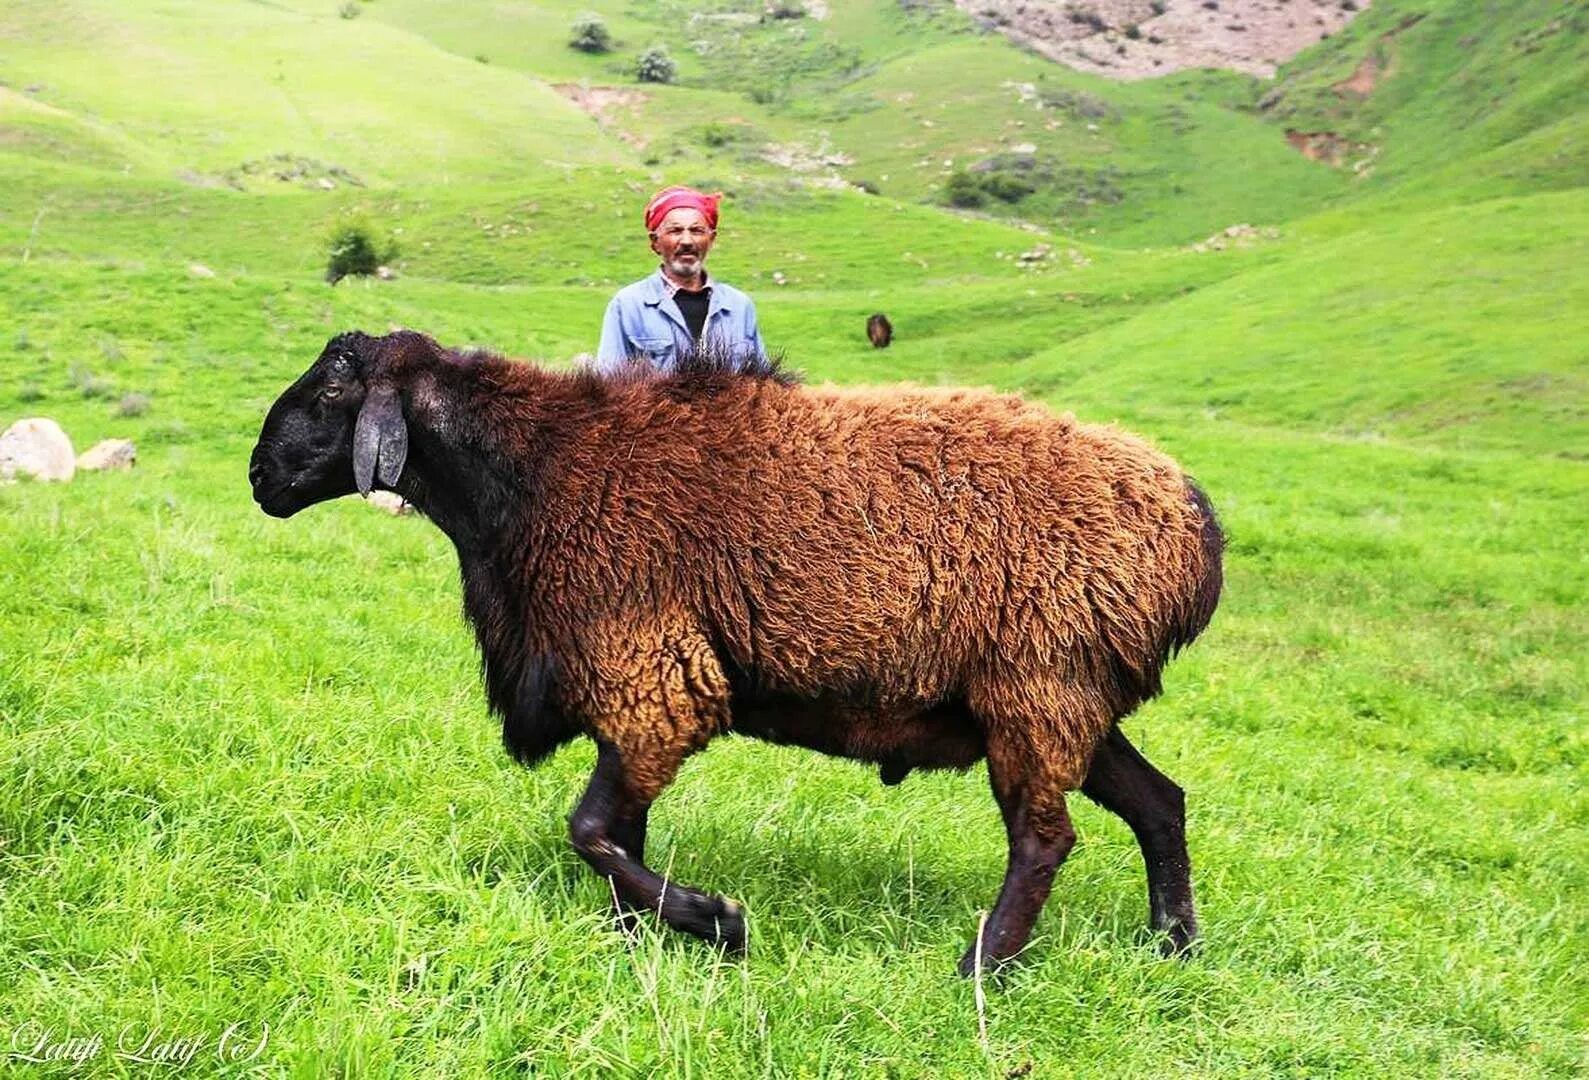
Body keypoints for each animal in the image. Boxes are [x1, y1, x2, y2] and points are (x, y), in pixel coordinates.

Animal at [247, 328, 1220, 972]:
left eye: (333, 392)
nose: (258, 476)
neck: (531, 475)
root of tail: (1191, 524)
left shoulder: (656, 680)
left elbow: (591, 830)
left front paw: (718, 923)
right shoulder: (626, 697)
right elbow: (620, 834)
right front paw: (636, 941)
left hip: (1037, 689)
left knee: (1044, 841)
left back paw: (983, 967)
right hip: (1067, 701)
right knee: (1158, 804)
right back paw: (1172, 946)